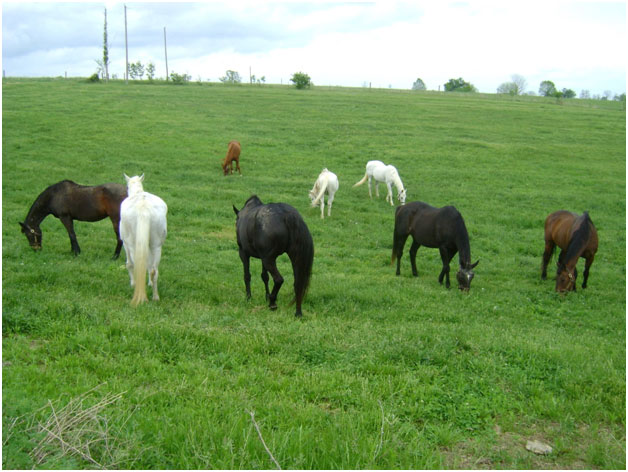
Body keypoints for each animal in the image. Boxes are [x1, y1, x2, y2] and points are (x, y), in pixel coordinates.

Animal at [119, 173, 167, 306]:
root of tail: (143, 207)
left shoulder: (125, 244)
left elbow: (130, 264)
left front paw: (132, 284)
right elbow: (149, 265)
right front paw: (149, 284)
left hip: (131, 244)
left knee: (135, 265)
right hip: (156, 246)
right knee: (154, 271)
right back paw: (155, 297)